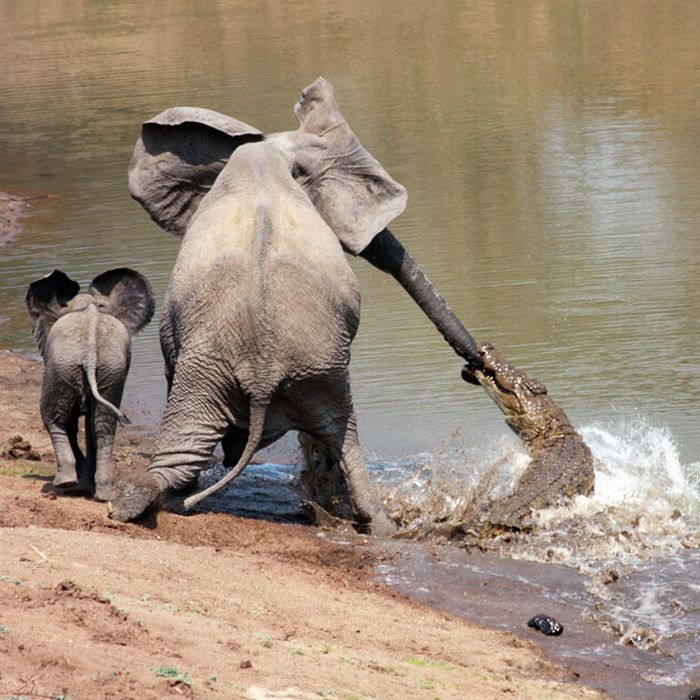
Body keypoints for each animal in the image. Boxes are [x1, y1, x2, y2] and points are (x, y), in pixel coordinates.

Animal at [27, 266, 154, 500]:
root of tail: (90, 354)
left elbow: (71, 421)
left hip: (63, 366)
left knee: (54, 418)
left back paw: (65, 483)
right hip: (110, 370)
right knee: (103, 425)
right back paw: (104, 492)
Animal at [110, 78, 482, 536]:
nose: (474, 367)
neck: (270, 152)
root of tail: (261, 372)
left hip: (260, 368)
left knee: (198, 441)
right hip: (286, 367)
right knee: (340, 436)